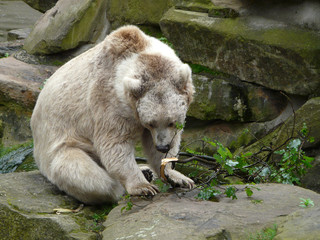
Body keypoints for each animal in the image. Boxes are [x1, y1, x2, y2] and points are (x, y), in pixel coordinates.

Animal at [30, 25, 195, 203]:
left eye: (172, 122)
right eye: (151, 122)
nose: (162, 146)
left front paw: (177, 176)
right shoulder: (108, 100)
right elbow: (115, 144)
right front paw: (143, 187)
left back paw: (146, 170)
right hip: (61, 145)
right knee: (84, 174)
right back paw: (121, 185)